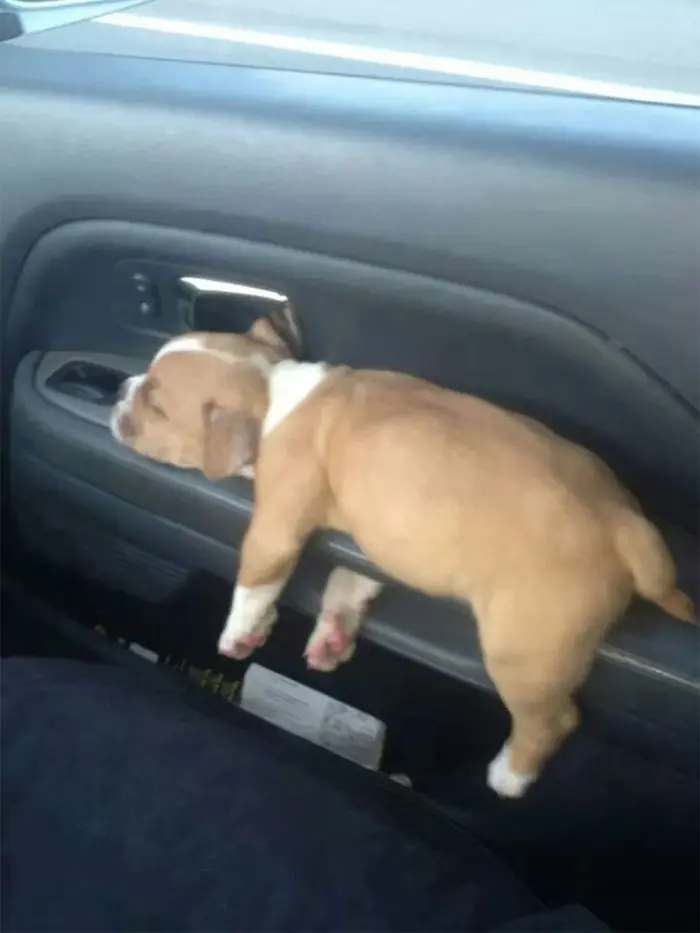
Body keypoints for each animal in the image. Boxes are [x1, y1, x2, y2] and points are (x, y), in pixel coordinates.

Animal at [110, 324, 696, 796]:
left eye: (155, 405)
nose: (120, 389)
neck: (270, 392)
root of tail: (626, 525)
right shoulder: (374, 537)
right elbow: (349, 583)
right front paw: (332, 635)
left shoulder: (276, 525)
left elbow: (256, 580)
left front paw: (240, 633)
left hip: (527, 651)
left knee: (555, 720)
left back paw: (511, 775)